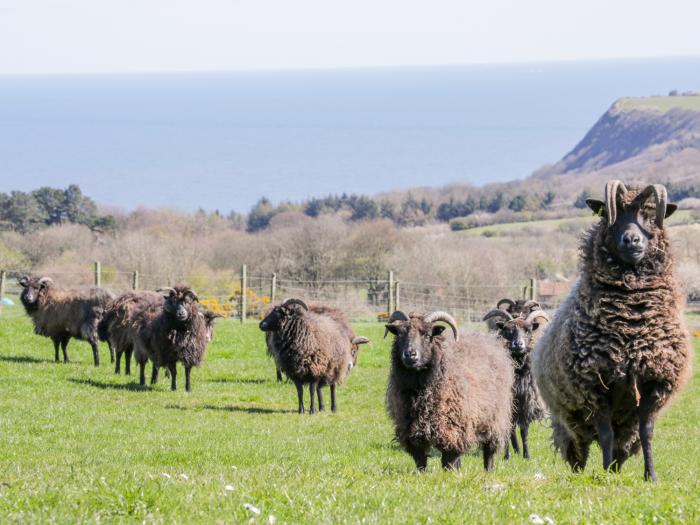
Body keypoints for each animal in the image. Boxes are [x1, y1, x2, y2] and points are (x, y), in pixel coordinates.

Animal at [382, 310, 516, 468]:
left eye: (427, 335)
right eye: (400, 334)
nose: (410, 355)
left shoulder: (453, 431)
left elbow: (449, 463)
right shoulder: (412, 434)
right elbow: (421, 463)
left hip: (494, 420)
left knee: (489, 452)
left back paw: (488, 470)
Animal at [484, 304, 548, 456]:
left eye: (528, 330)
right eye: (508, 330)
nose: (518, 344)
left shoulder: (526, 401)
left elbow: (524, 430)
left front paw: (526, 455)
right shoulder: (508, 401)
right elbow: (509, 430)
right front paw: (507, 456)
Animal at [532, 179, 692, 478]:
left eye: (649, 215)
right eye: (610, 215)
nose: (632, 240)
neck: (631, 324)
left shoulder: (655, 383)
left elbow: (647, 433)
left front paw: (650, 476)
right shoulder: (595, 385)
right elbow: (605, 435)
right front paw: (605, 476)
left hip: (624, 428)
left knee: (622, 446)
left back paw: (616, 469)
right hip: (569, 421)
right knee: (578, 450)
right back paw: (584, 473)